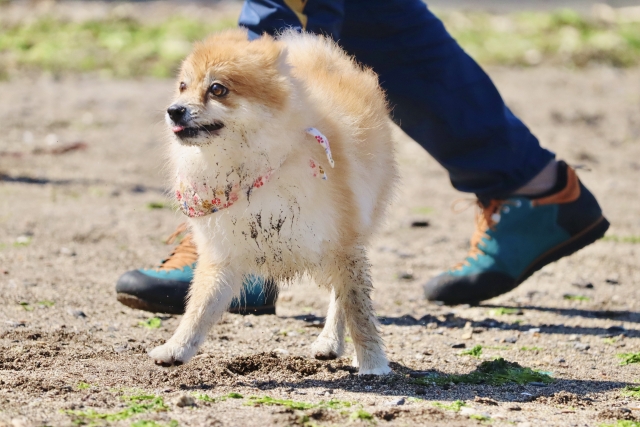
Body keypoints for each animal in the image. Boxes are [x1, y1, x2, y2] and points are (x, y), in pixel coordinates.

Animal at [148, 28, 397, 375]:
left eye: (217, 89)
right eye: (183, 86)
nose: (174, 110)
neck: (253, 170)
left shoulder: (341, 243)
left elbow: (357, 308)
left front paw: (373, 361)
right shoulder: (223, 251)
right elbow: (200, 307)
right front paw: (177, 348)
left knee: (339, 297)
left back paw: (333, 342)